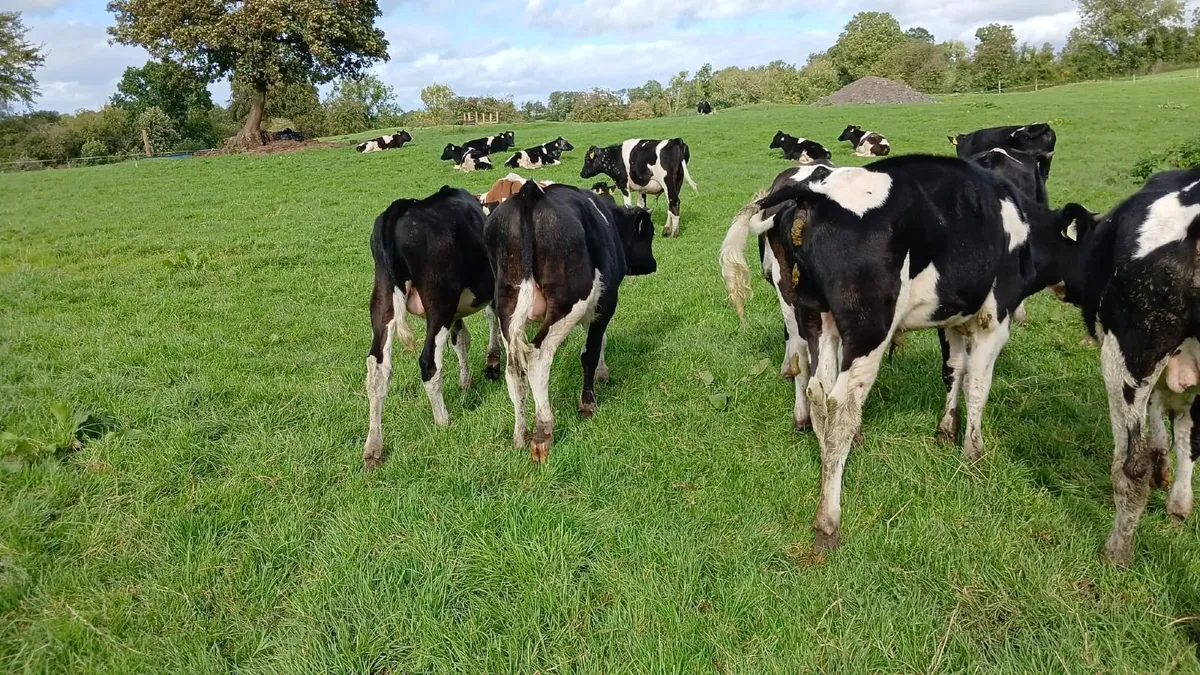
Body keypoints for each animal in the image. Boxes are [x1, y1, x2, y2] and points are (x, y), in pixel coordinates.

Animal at [363, 186, 502, 470]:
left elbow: (461, 340)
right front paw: (493, 363)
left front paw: (465, 381)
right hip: (440, 302)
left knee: (377, 370)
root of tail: (400, 209)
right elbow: (494, 322)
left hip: (383, 299)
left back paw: (373, 447)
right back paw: (443, 420)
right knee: (430, 362)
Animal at [485, 181, 658, 463]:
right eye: (648, 234)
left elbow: (599, 342)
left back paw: (520, 434)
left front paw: (602, 372)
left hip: (506, 307)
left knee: (514, 370)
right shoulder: (606, 302)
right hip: (567, 304)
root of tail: (529, 194)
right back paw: (542, 433)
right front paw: (588, 402)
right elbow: (591, 350)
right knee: (538, 357)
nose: (653, 264)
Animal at [719, 155, 1091, 552]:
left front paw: (946, 431)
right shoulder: (994, 317)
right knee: (840, 406)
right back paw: (828, 520)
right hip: (868, 328)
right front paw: (973, 454)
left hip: (811, 313)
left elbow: (953, 369)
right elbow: (977, 385)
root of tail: (810, 192)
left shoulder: (951, 315)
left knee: (815, 386)